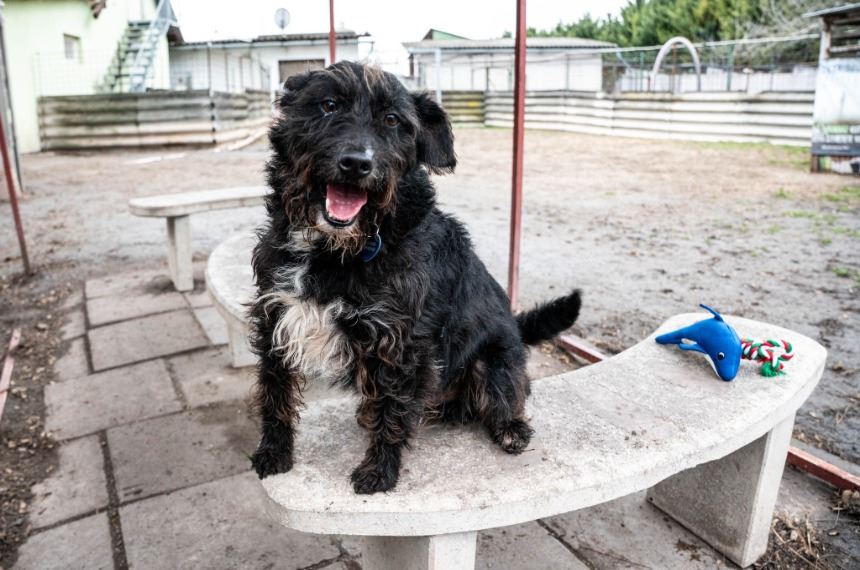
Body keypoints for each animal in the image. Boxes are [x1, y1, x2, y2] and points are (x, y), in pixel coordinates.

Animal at [250, 61, 581, 494]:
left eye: (393, 120)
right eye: (328, 105)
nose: (357, 163)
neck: (336, 250)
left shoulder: (402, 344)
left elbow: (394, 413)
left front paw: (380, 471)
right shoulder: (274, 317)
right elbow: (275, 393)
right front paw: (274, 451)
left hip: (492, 363)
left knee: (507, 395)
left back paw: (511, 427)